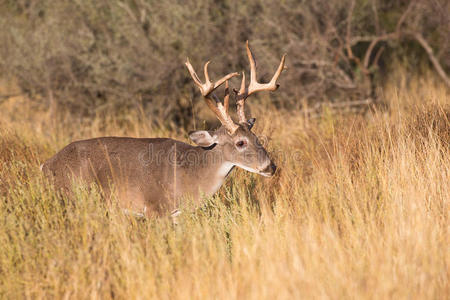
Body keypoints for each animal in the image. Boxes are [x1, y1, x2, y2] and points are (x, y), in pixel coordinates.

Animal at [41, 41, 284, 217]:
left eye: (257, 138)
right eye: (240, 142)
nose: (271, 167)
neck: (192, 175)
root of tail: (46, 165)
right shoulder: (154, 207)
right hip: (71, 196)